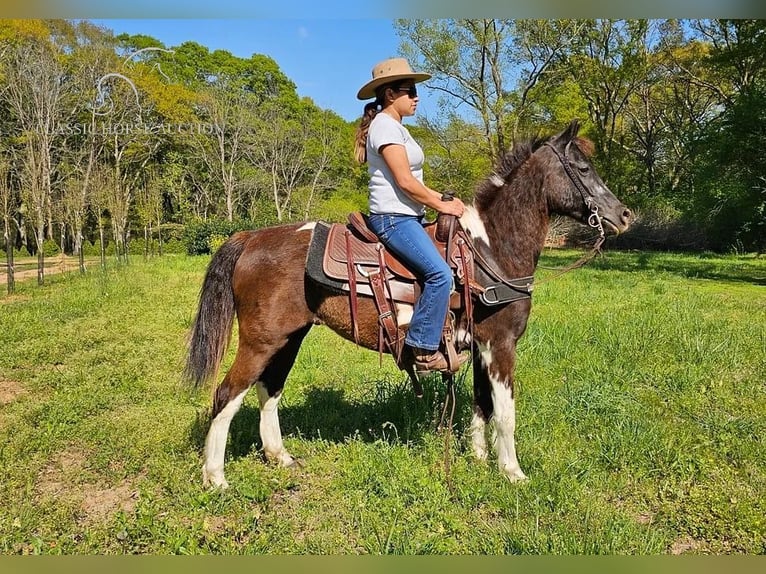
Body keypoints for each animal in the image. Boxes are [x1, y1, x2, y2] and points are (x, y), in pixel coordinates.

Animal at [184, 119, 632, 488]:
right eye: (584, 169)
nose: (624, 215)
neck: (490, 250)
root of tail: (249, 238)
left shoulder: (482, 345)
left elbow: (482, 404)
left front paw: (479, 458)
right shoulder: (501, 343)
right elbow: (505, 412)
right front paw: (512, 472)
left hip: (289, 337)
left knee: (269, 389)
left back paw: (280, 457)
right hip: (260, 341)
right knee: (226, 394)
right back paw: (215, 478)